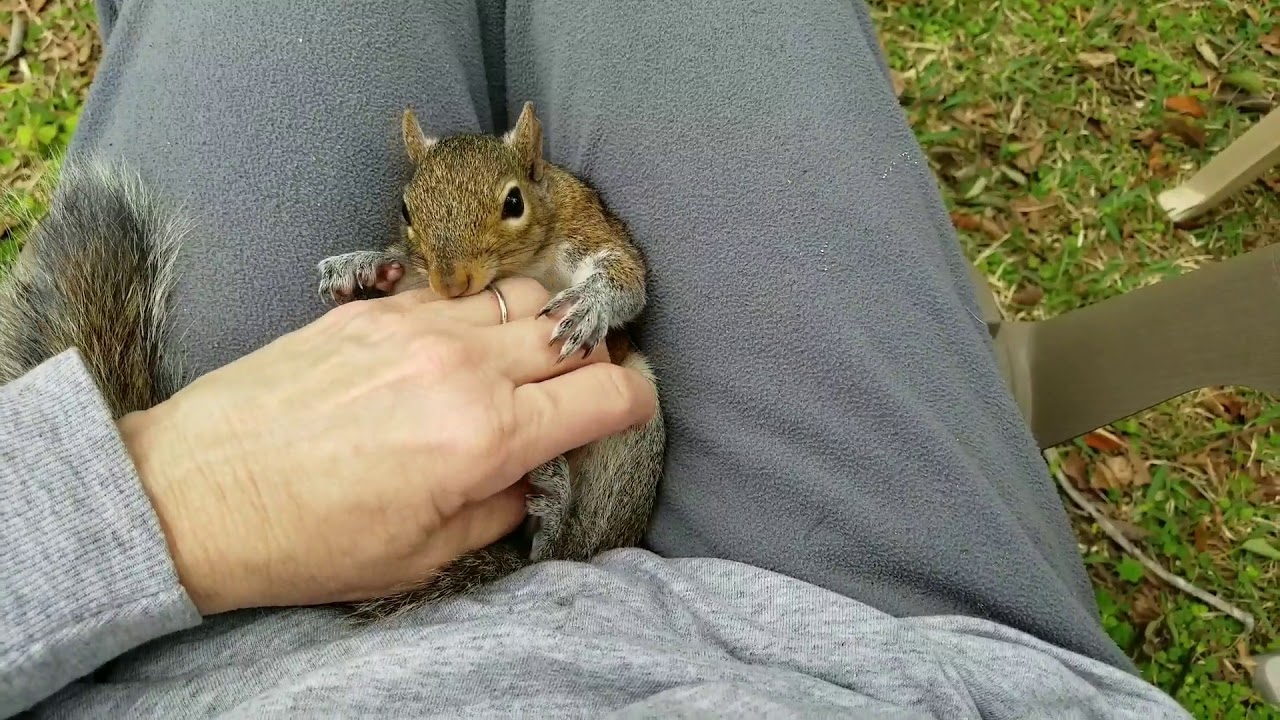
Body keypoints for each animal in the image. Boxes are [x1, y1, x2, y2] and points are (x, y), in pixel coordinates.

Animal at [316, 102, 666, 620]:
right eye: (405, 208)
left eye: (514, 203)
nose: (449, 283)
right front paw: (363, 265)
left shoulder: (586, 227)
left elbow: (626, 277)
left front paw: (591, 304)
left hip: (635, 441)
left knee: (568, 551)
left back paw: (555, 511)